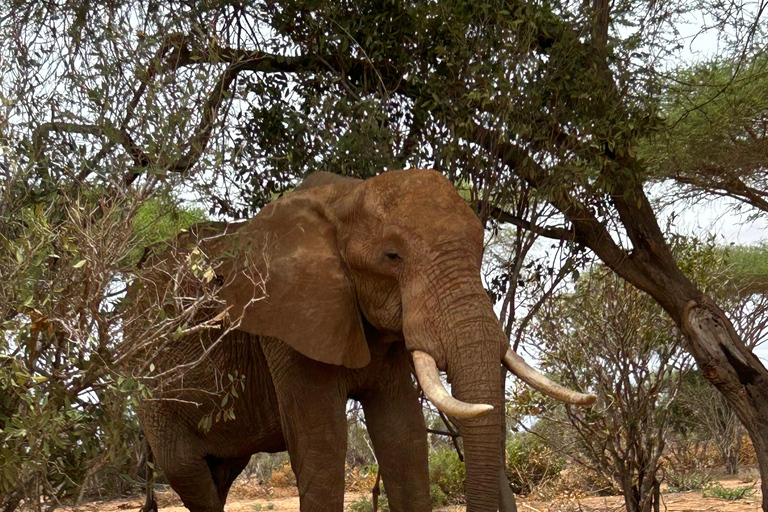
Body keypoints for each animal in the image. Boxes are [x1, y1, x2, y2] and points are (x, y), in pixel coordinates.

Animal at [130, 169, 592, 512]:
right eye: (392, 257)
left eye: (480, 251)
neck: (343, 199)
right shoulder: (287, 321)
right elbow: (322, 443)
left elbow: (402, 436)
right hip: (149, 382)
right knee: (186, 469)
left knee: (220, 473)